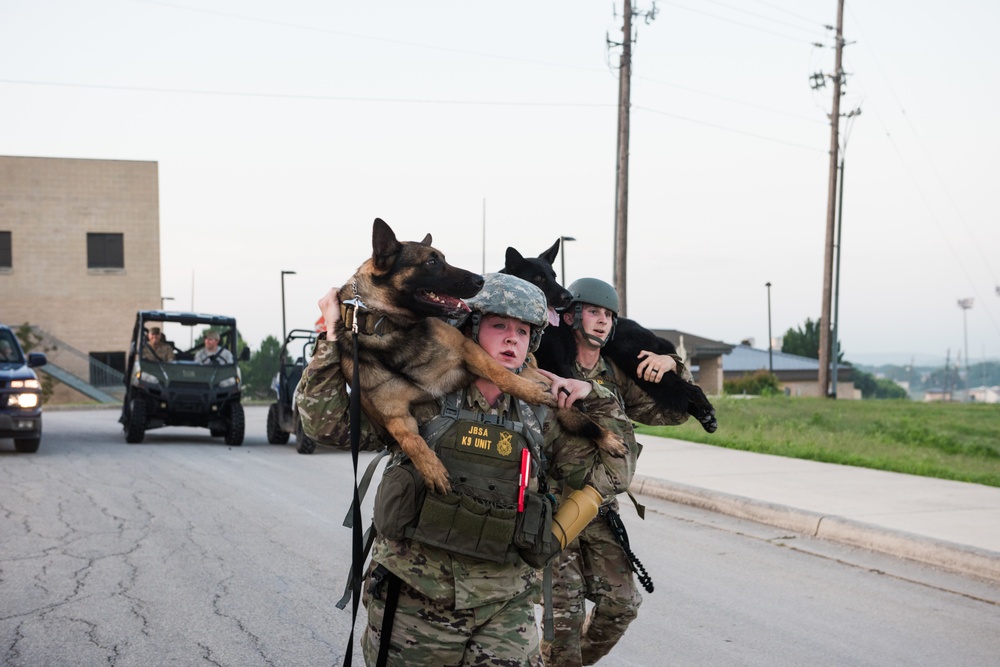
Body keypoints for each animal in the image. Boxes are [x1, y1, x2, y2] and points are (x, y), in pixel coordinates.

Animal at [334, 219, 624, 496]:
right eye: (431, 262)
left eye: (443, 258)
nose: (479, 280)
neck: (393, 331)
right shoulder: (396, 417)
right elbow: (412, 442)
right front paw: (431, 469)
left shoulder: (468, 351)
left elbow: (501, 374)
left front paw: (530, 392)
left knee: (580, 418)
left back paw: (607, 437)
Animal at [504, 240, 716, 434]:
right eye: (539, 277)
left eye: (554, 276)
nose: (568, 296)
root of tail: (646, 330)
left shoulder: (563, 367)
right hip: (645, 376)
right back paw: (706, 416)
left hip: (640, 365)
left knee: (692, 389)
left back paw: (706, 410)